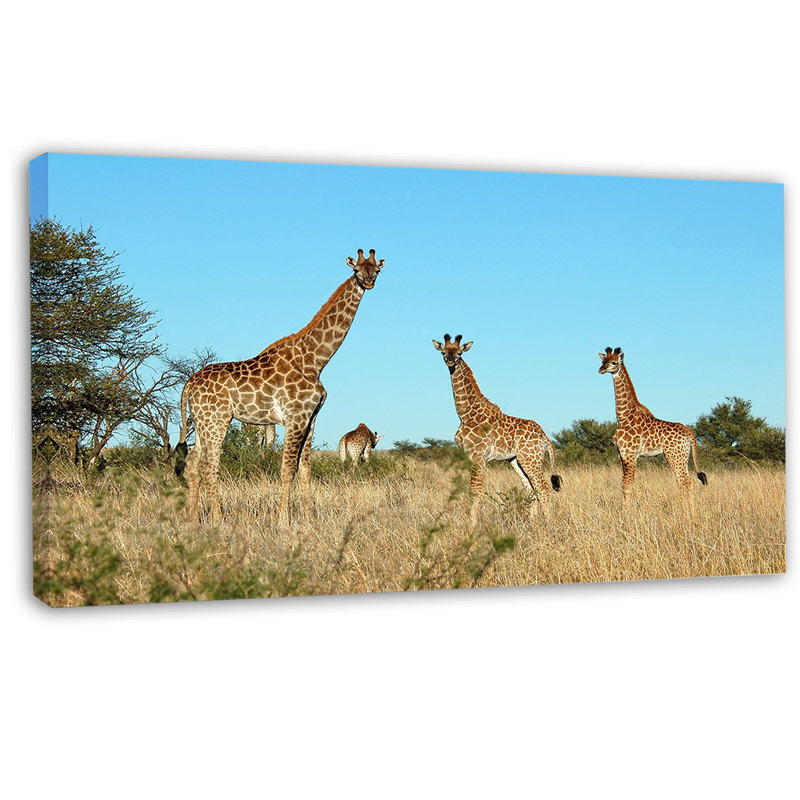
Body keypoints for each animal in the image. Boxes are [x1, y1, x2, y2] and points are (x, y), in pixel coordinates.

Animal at [177, 249, 386, 522]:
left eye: (377, 269)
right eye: (356, 270)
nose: (369, 282)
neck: (315, 359)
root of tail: (188, 385)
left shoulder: (311, 418)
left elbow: (305, 469)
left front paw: (310, 518)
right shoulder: (295, 417)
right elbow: (287, 469)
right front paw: (283, 521)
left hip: (202, 422)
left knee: (192, 466)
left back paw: (191, 519)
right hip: (217, 421)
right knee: (210, 467)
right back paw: (218, 519)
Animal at [433, 334, 562, 523]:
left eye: (459, 353)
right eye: (443, 351)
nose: (450, 361)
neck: (465, 414)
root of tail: (544, 436)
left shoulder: (478, 456)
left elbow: (476, 491)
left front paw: (472, 525)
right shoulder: (467, 456)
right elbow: (471, 490)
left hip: (531, 459)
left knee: (542, 488)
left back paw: (548, 524)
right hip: (516, 460)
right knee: (530, 489)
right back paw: (531, 523)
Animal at [598, 347, 707, 498]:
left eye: (614, 362)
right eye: (603, 361)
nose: (600, 369)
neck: (623, 416)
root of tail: (689, 432)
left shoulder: (630, 454)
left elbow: (627, 486)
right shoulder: (621, 455)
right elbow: (624, 485)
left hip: (675, 456)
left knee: (685, 481)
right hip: (683, 456)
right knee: (686, 482)